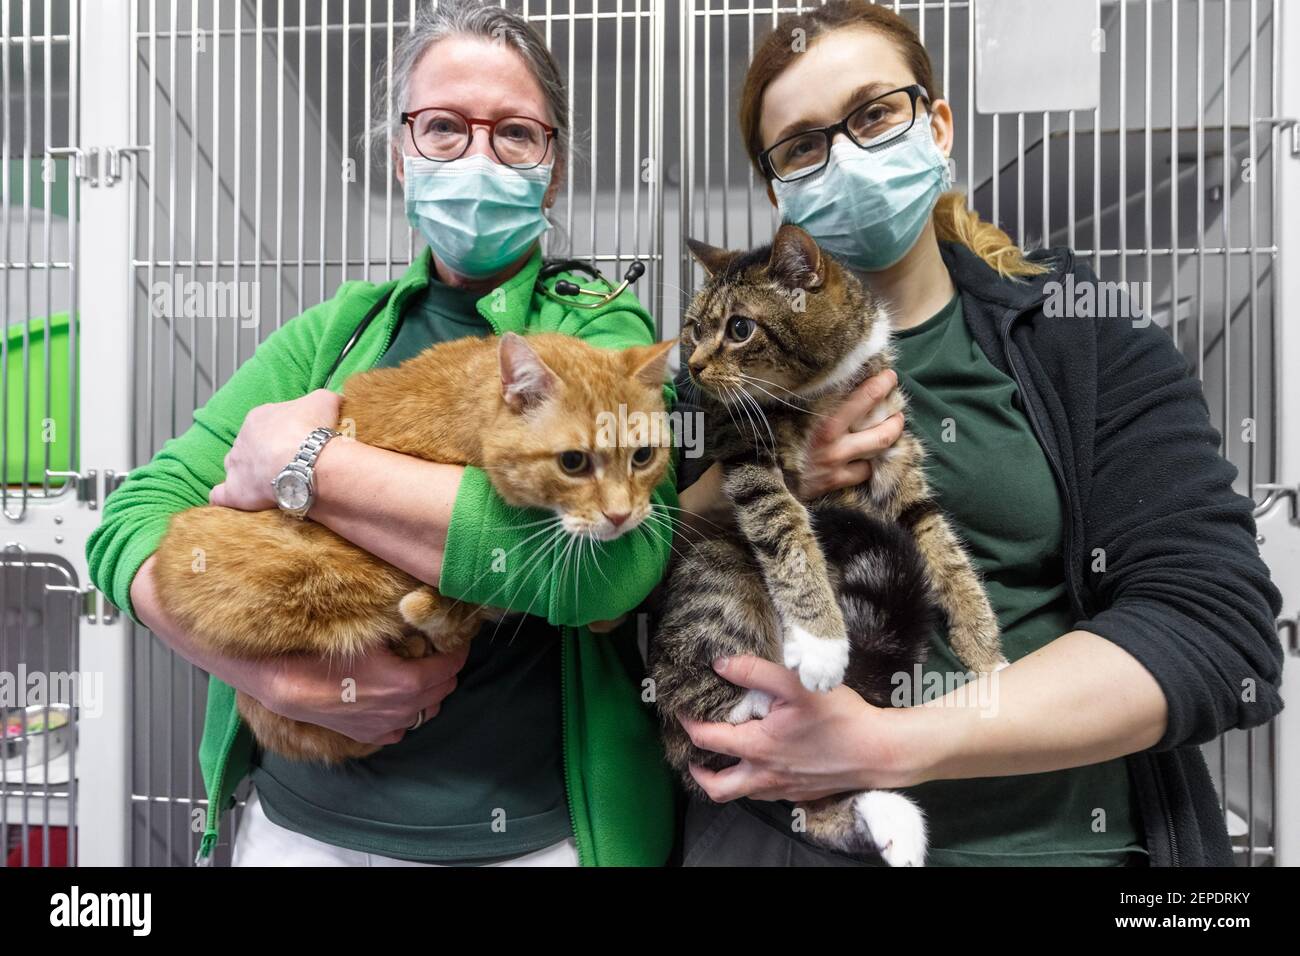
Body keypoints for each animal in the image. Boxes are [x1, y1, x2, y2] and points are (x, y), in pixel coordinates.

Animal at [650, 223, 1003, 868]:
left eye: (739, 328)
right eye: (692, 326)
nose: (693, 364)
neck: (821, 389)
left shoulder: (892, 447)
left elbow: (938, 541)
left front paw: (985, 650)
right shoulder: (744, 447)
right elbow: (785, 525)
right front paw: (820, 642)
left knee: (814, 802)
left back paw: (890, 821)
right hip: (714, 575)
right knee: (699, 723)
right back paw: (760, 701)